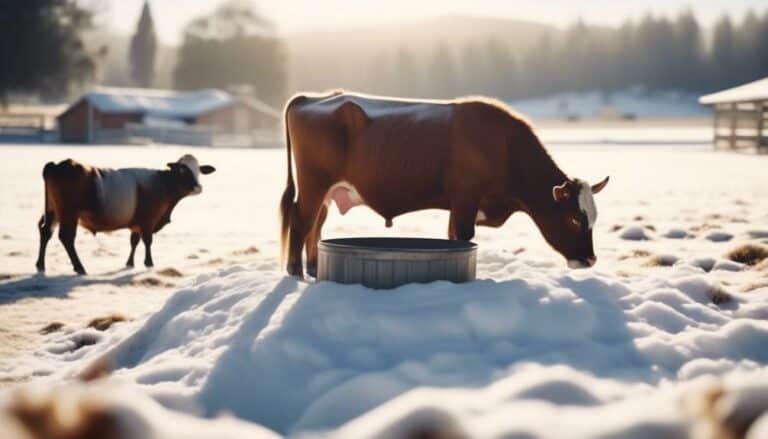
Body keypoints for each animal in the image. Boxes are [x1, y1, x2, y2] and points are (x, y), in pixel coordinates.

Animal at [35, 153, 214, 274]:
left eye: (199, 171)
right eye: (183, 170)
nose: (198, 187)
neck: (161, 184)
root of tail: (57, 165)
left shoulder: (136, 223)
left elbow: (134, 241)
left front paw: (130, 263)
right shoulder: (148, 220)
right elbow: (147, 241)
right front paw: (149, 263)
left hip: (53, 211)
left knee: (45, 232)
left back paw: (40, 265)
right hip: (68, 213)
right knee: (66, 237)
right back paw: (79, 268)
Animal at [280, 91, 608, 278]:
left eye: (594, 219)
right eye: (575, 219)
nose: (590, 259)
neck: (504, 147)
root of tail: (310, 99)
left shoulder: (460, 204)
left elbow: (453, 238)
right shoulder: (465, 198)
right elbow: (462, 237)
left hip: (327, 190)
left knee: (316, 223)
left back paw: (313, 268)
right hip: (313, 184)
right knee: (301, 220)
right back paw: (295, 272)